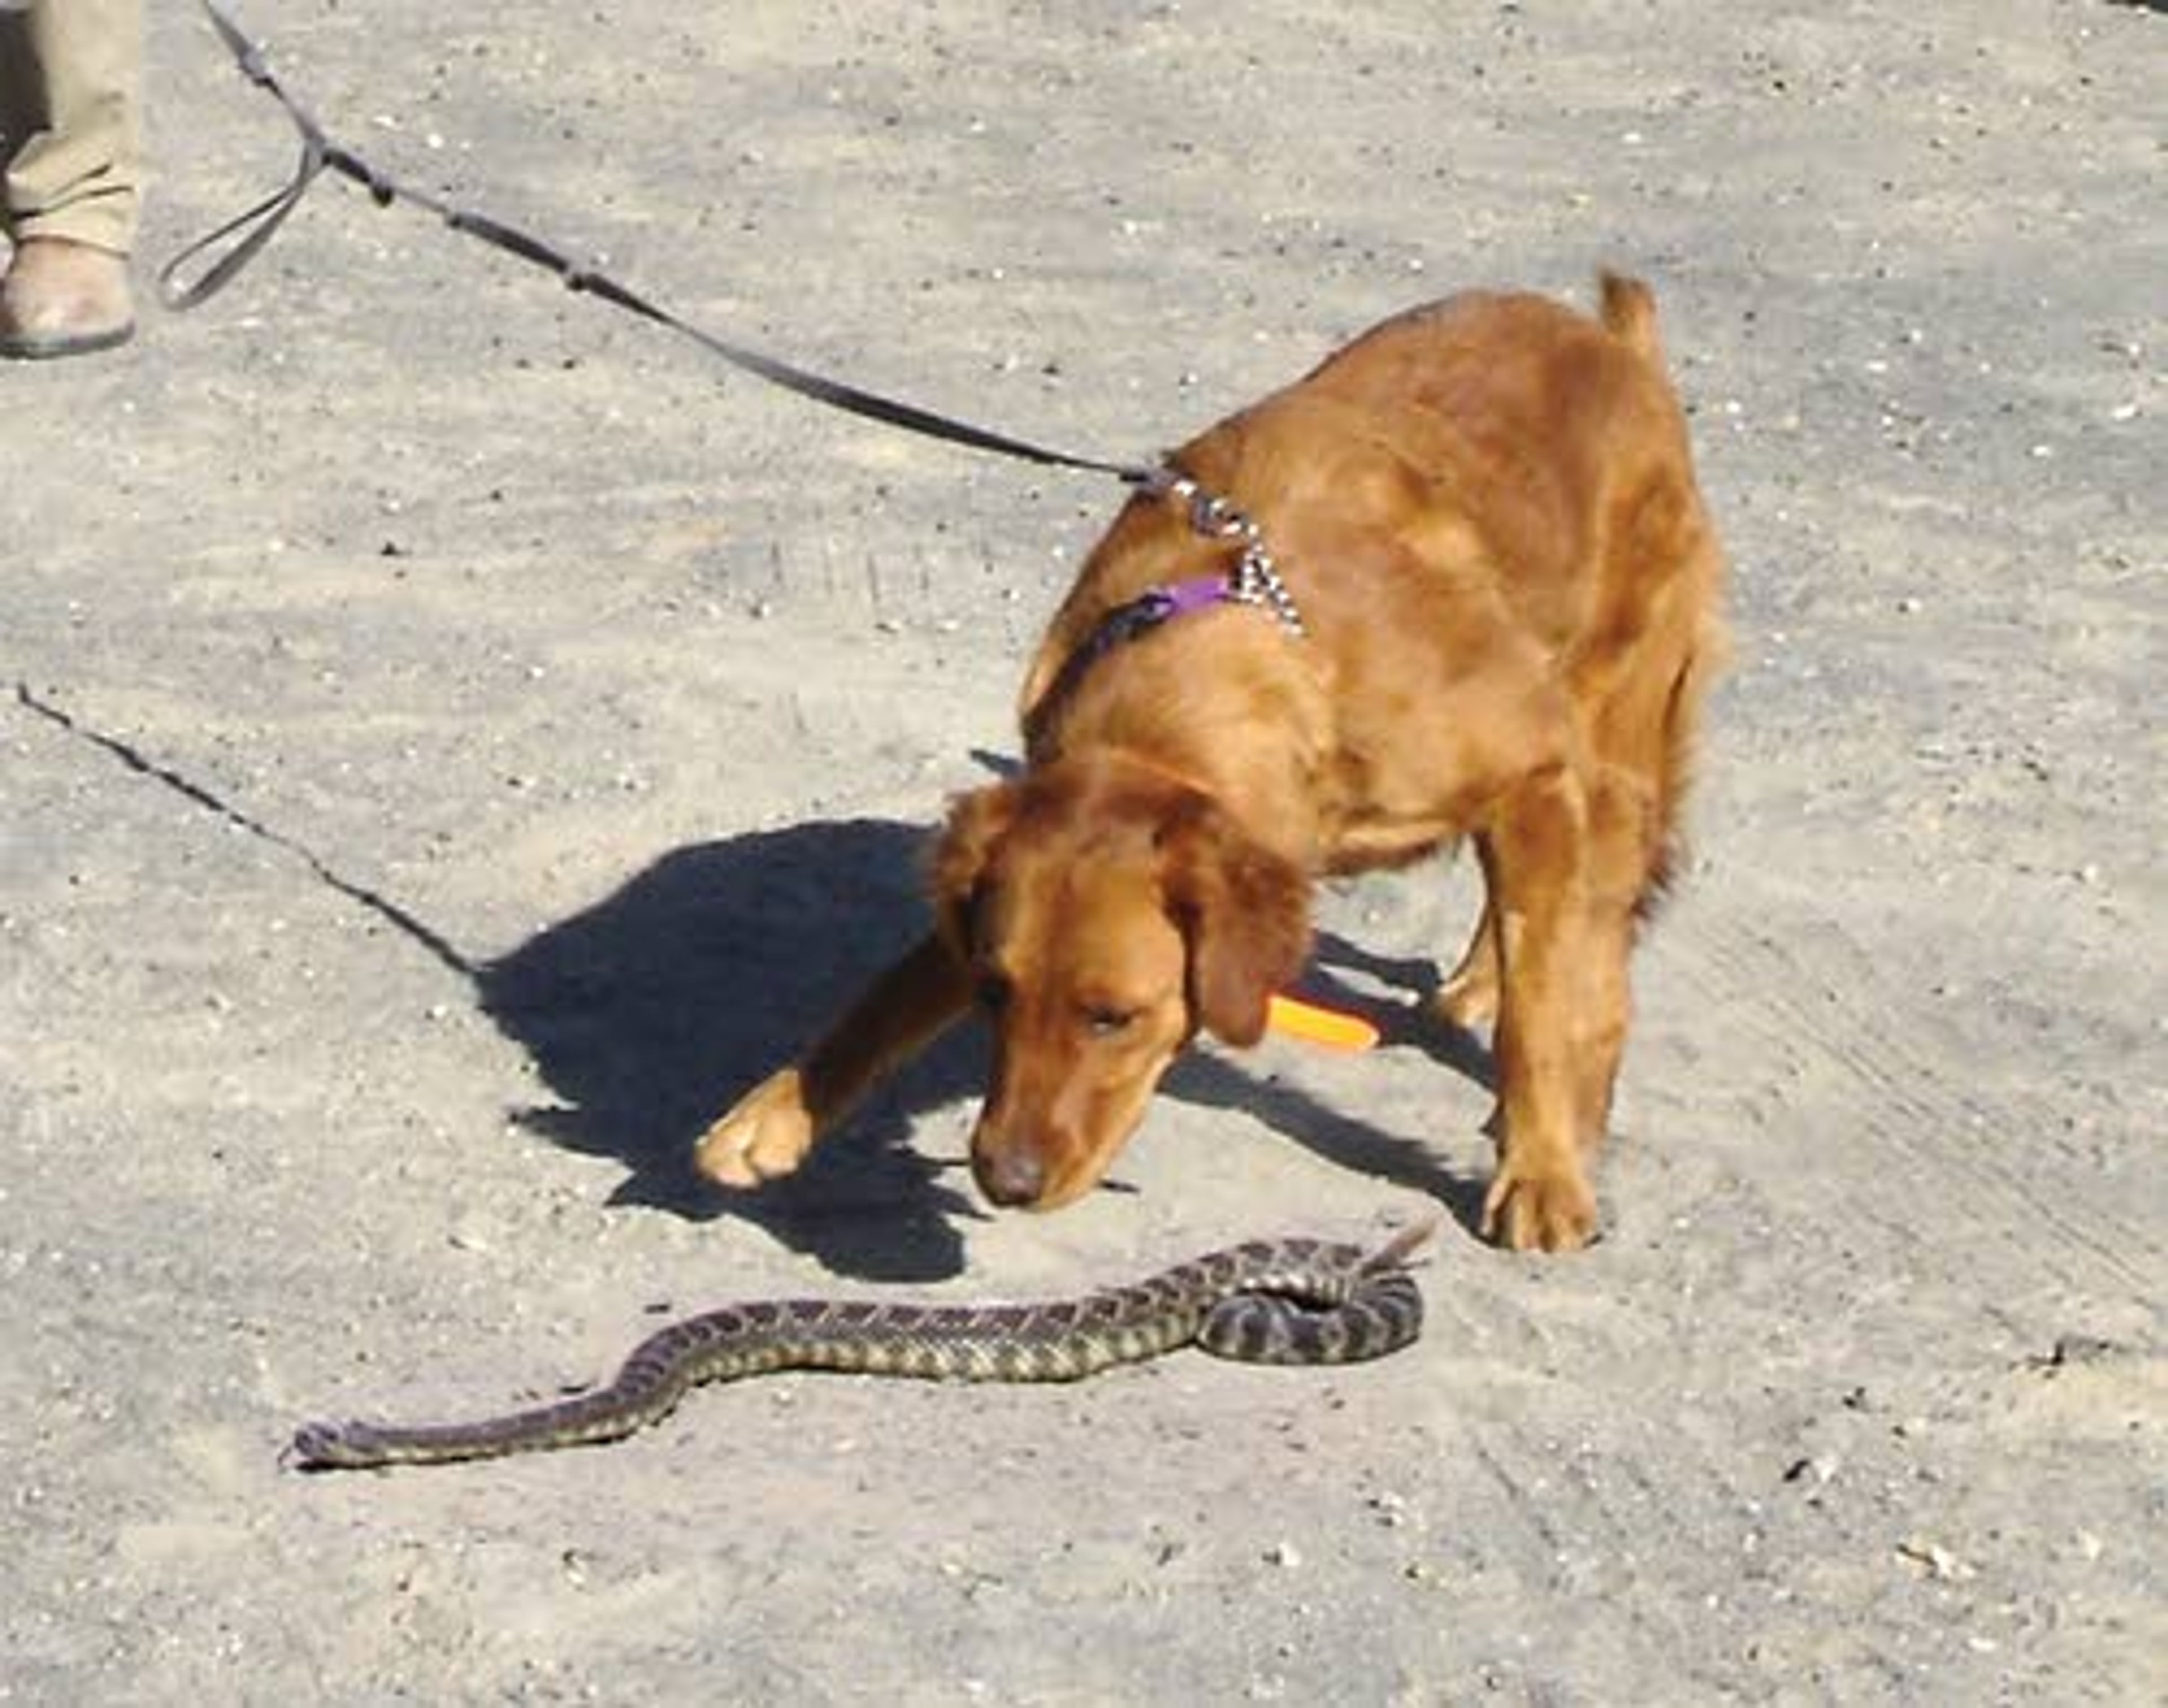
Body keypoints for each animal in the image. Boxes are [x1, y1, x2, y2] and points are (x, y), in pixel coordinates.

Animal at [693, 273, 1725, 1248]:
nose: (1003, 1180)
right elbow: (902, 979)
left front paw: (1544, 1160)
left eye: (1112, 1016)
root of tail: (1613, 343)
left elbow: (1544, 1004)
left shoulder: (1535, 767)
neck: (1252, 633)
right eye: (994, 992)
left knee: (1592, 919)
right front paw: (781, 1107)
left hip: (1616, 731)